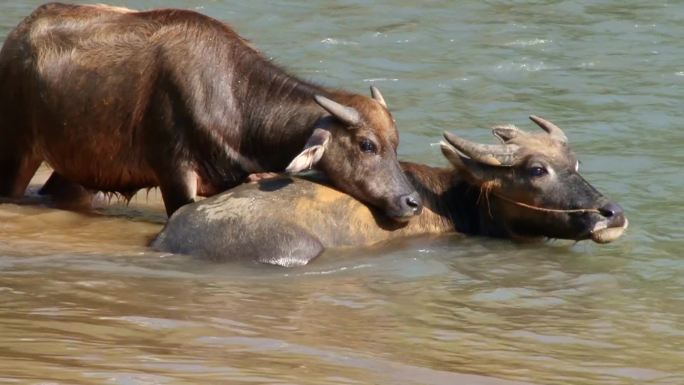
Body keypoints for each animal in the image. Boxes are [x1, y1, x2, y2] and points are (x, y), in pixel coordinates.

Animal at [0, 3, 422, 218]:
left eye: (396, 145)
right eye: (367, 145)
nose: (412, 202)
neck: (235, 101)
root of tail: (17, 37)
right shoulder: (174, 174)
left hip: (77, 165)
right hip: (18, 149)